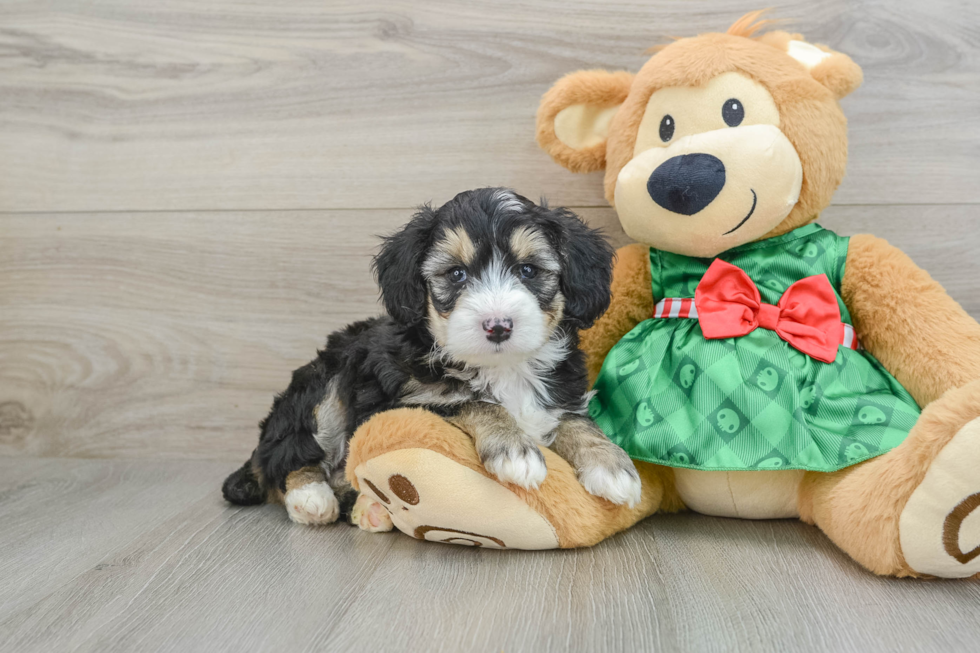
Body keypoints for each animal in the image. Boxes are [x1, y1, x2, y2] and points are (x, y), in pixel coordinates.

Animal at [222, 186, 644, 528]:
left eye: (528, 270)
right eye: (456, 274)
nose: (498, 326)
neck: (502, 367)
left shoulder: (562, 395)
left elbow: (576, 422)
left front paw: (611, 464)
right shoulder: (404, 402)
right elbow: (472, 402)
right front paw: (513, 448)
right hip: (323, 383)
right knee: (287, 453)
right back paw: (312, 497)